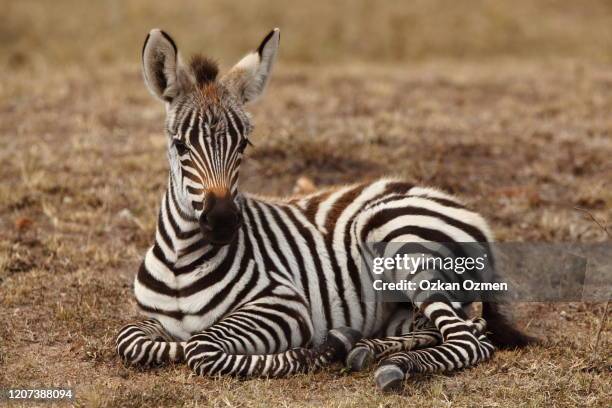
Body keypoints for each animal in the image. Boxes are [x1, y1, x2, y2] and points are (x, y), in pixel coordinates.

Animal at [116, 27, 536, 390]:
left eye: (244, 145)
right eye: (179, 145)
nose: (222, 222)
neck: (180, 260)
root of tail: (454, 202)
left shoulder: (284, 305)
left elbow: (200, 348)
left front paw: (319, 351)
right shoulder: (150, 320)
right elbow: (131, 339)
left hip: (403, 244)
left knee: (469, 341)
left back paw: (392, 364)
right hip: (402, 307)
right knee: (453, 330)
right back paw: (365, 349)